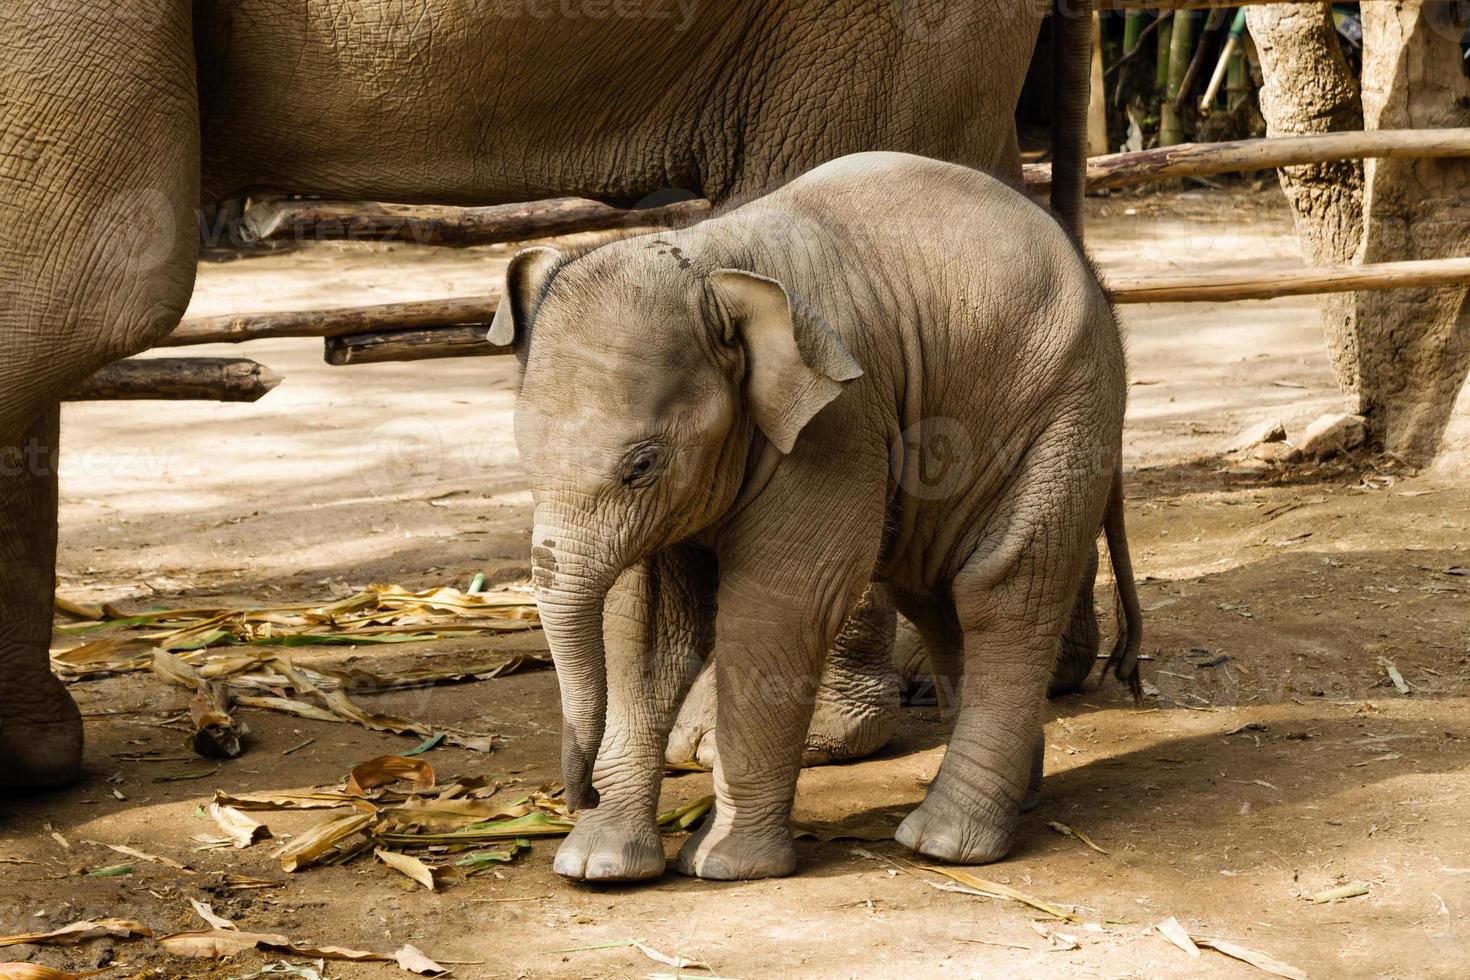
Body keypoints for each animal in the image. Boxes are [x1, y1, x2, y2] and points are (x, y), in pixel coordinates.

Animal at [488, 151, 1140, 881]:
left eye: (643, 464)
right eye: (522, 454)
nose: (575, 794)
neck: (709, 265)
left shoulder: (838, 422)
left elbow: (778, 606)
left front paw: (722, 866)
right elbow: (647, 627)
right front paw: (597, 867)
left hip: (1063, 412)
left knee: (1001, 590)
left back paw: (943, 843)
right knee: (937, 595)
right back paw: (1013, 802)